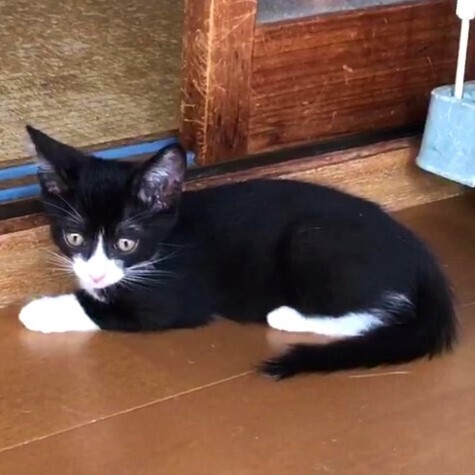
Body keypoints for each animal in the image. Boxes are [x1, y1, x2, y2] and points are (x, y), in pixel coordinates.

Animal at [19, 126, 457, 379]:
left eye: (126, 242)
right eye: (74, 238)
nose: (95, 272)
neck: (163, 243)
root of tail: (422, 257)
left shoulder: (176, 296)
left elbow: (103, 309)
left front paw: (40, 309)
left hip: (311, 242)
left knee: (385, 312)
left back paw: (287, 316)